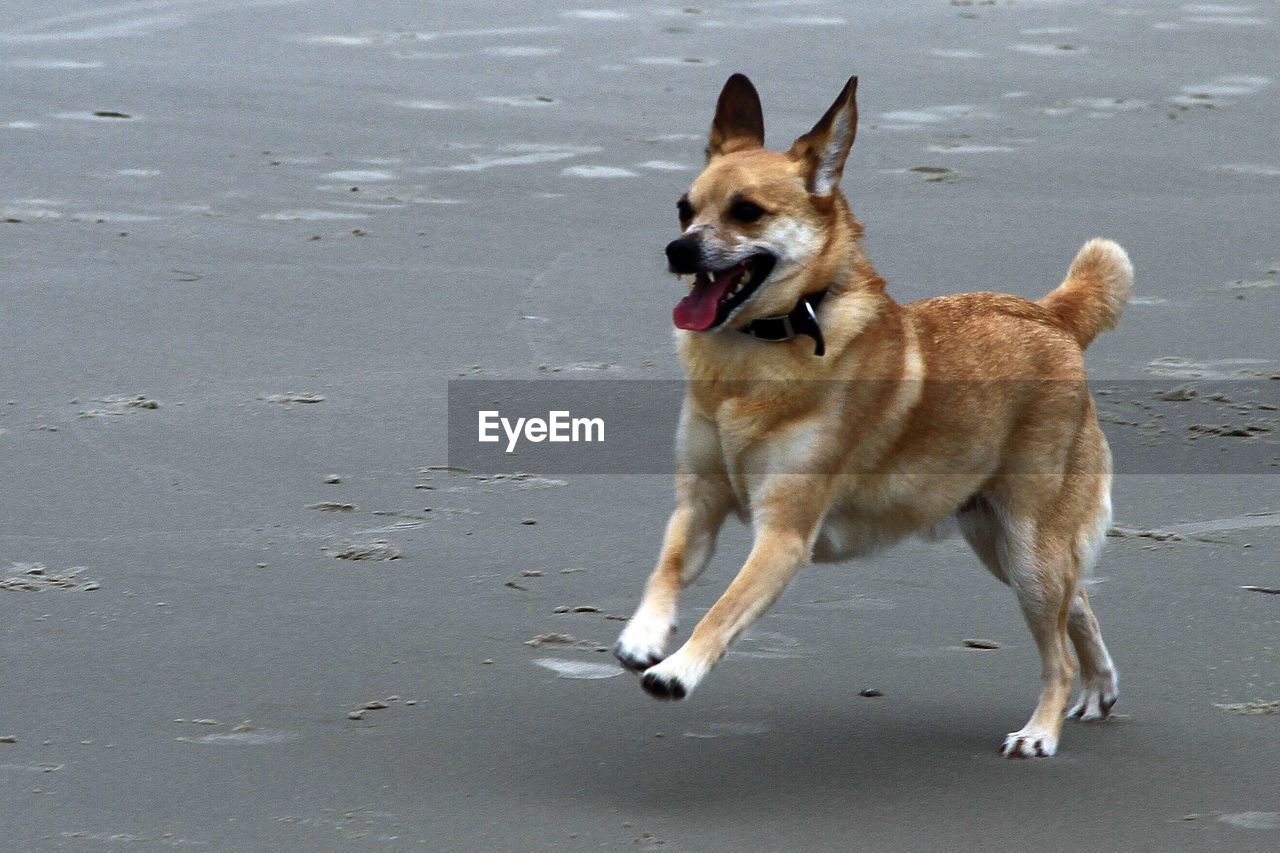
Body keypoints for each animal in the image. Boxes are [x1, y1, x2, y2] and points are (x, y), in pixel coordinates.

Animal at [614, 74, 1136, 758]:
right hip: (1005, 547)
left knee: (1059, 650)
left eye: (746, 211)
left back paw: (1040, 731)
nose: (677, 250)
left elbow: (723, 611)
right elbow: (667, 568)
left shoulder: (783, 535)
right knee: (1080, 607)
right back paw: (1099, 688)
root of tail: (1052, 316)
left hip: (1029, 549)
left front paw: (677, 669)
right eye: (684, 208)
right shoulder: (698, 504)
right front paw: (645, 636)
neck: (755, 357)